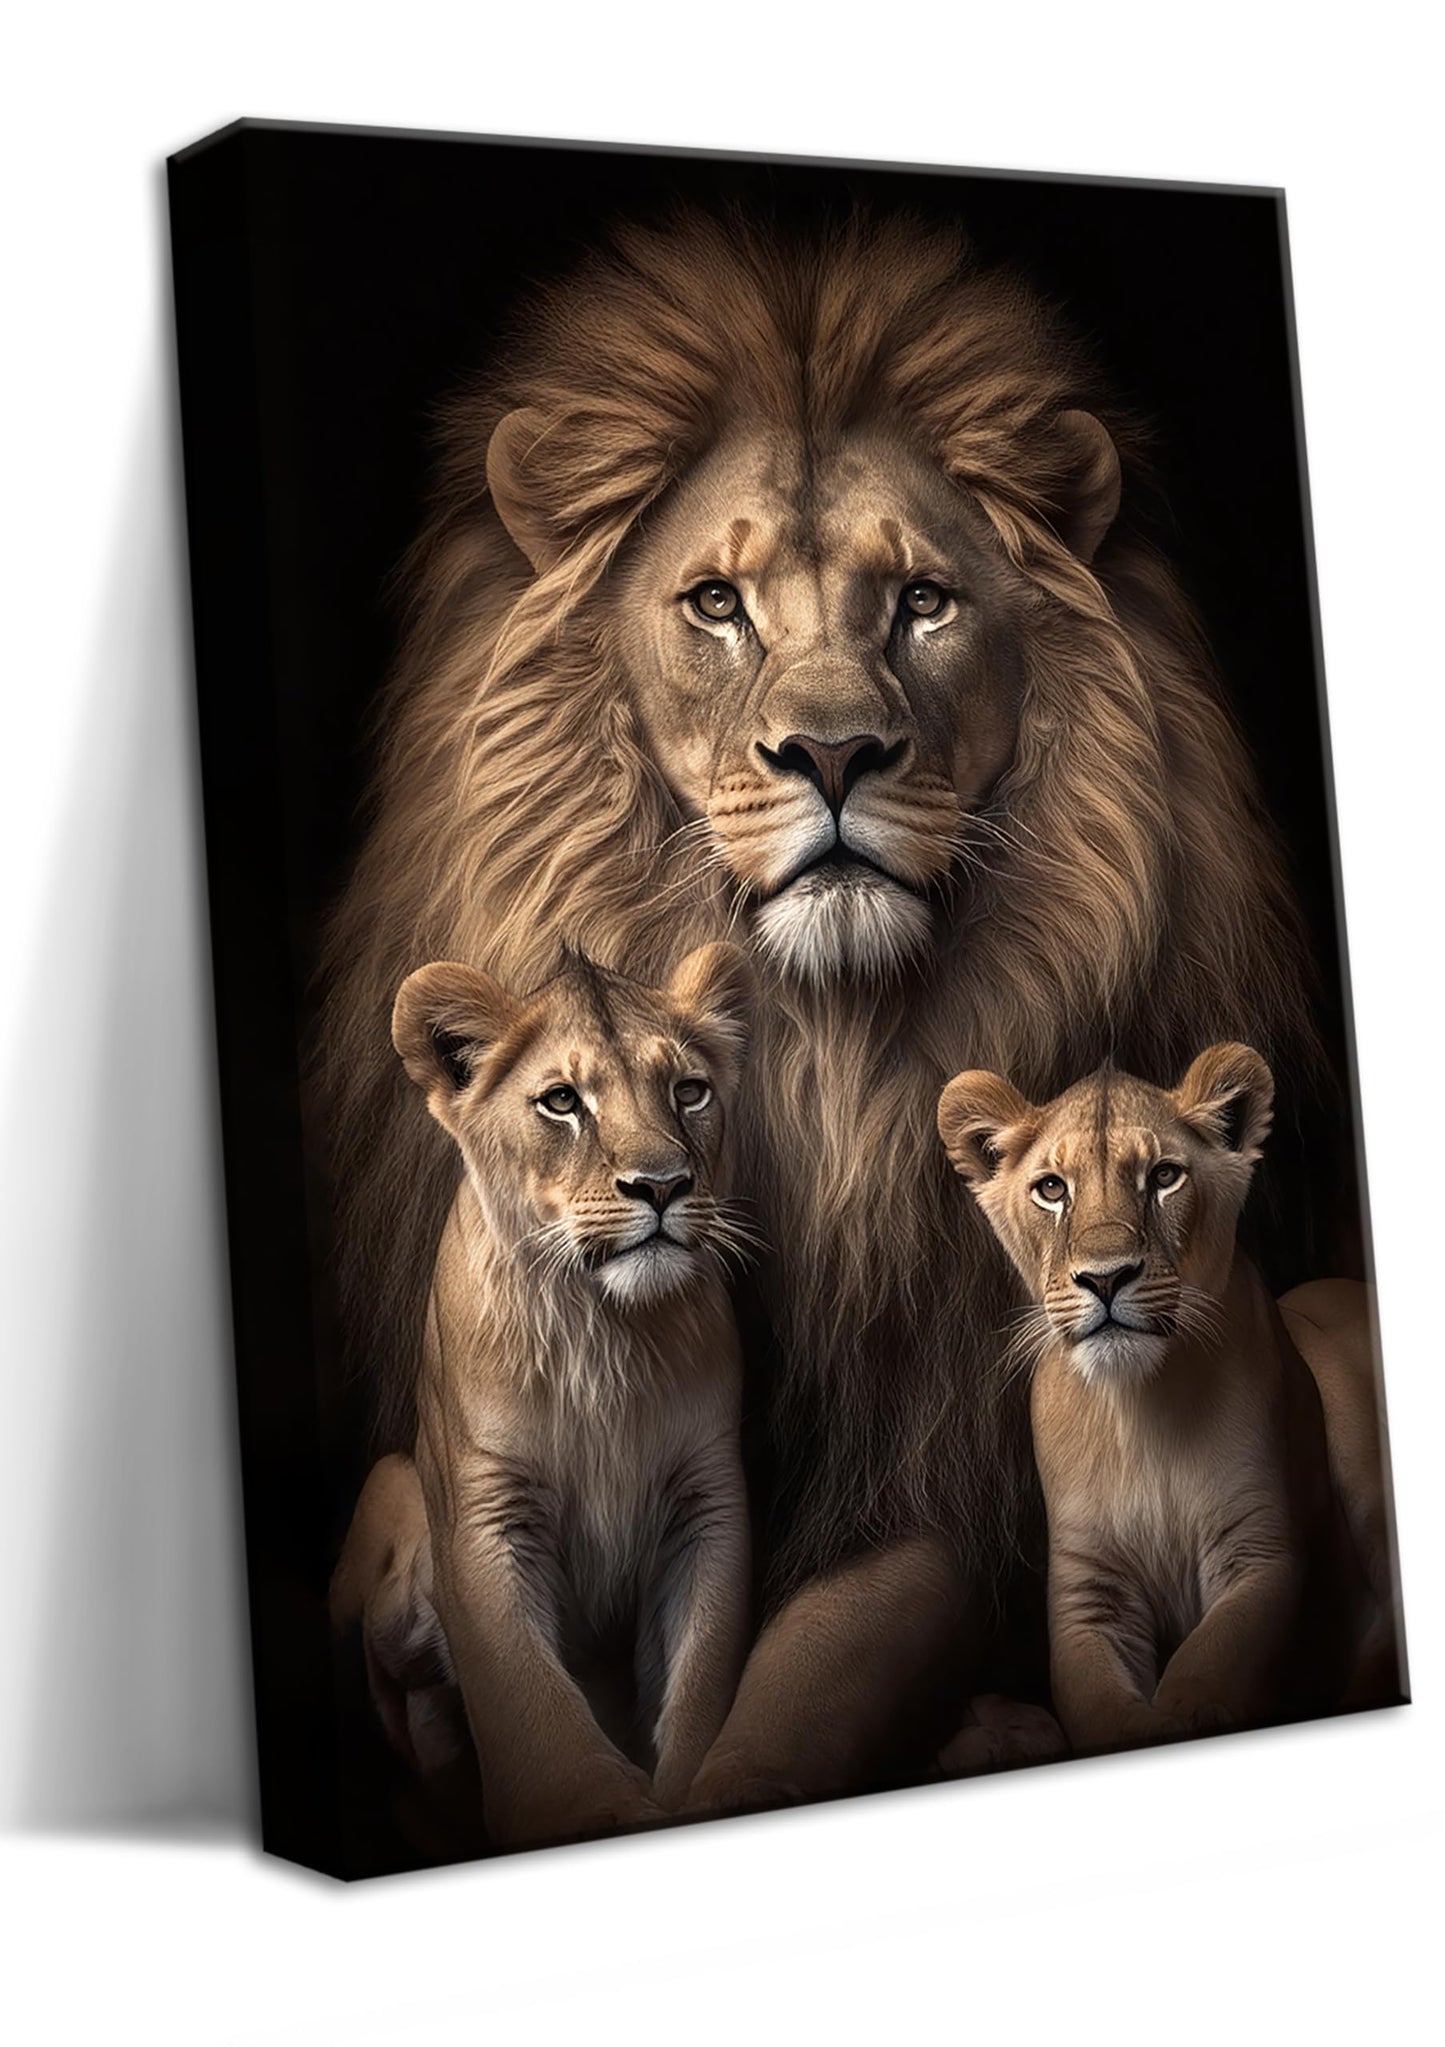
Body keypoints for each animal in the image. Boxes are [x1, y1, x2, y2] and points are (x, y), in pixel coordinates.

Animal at [319, 209, 1320, 1819]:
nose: (835, 751)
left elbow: (794, 1694)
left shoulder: (940, 1487)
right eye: (716, 604)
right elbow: (440, 1536)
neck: (825, 1061)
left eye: (920, 598)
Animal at [938, 1045, 1399, 1752]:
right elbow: (1094, 1702)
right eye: (1052, 1189)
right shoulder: (1087, 1592)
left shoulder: (1257, 1549)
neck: (1139, 1413)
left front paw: (1187, 1711)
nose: (1105, 1279)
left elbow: (1211, 1660)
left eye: (1163, 1177)